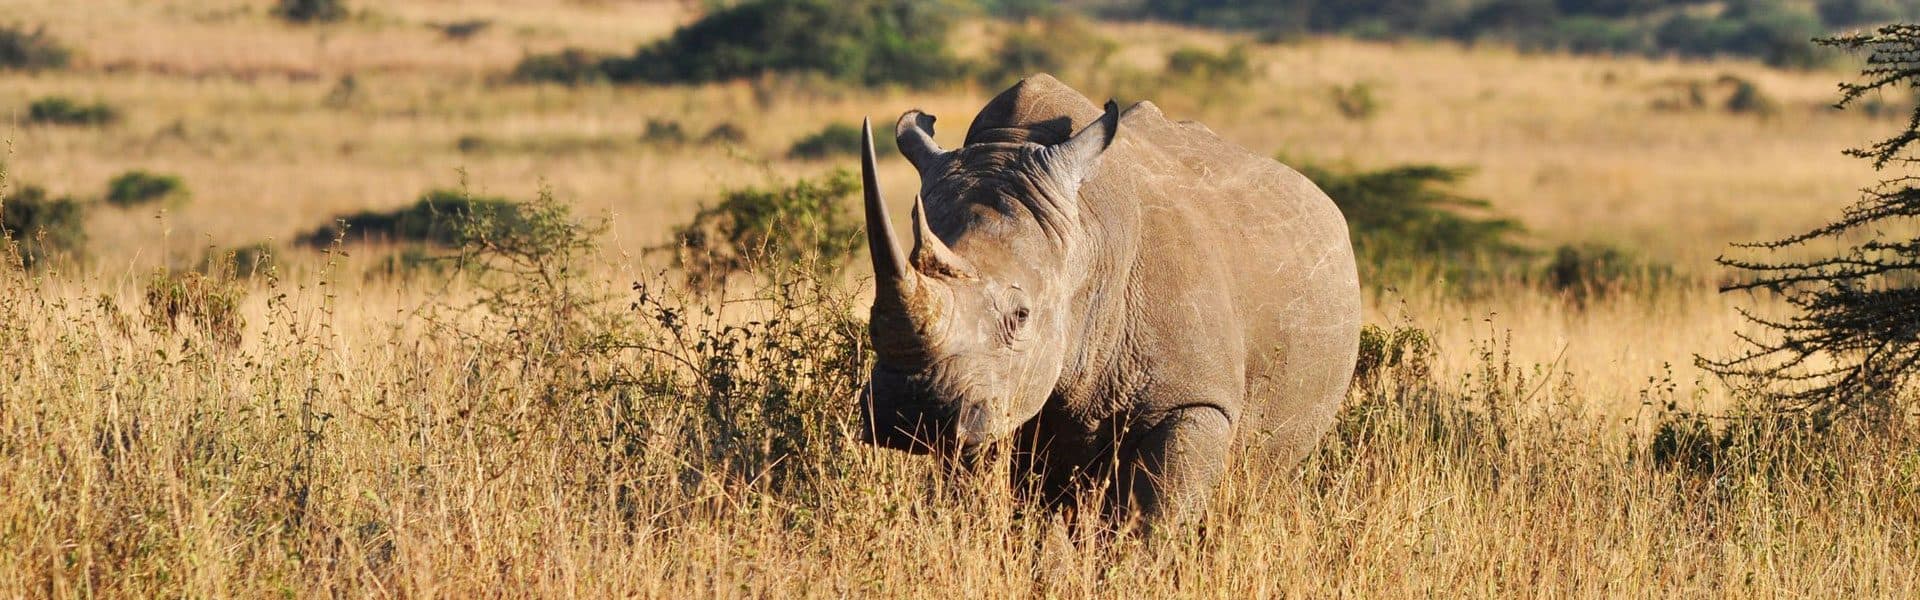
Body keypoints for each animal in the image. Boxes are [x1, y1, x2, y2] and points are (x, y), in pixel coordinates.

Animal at [857, 75, 1361, 531]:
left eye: (1021, 316)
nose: (911, 410)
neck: (1085, 242)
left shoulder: (1194, 402)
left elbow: (1153, 521)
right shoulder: (991, 398)